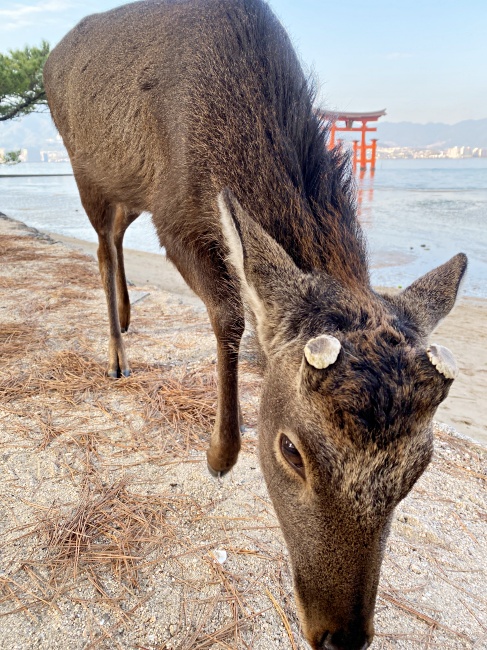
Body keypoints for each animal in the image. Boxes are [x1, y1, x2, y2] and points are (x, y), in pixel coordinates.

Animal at [43, 2, 468, 644]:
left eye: (421, 467)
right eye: (290, 449)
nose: (341, 635)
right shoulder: (174, 213)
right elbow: (231, 316)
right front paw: (220, 455)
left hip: (122, 181)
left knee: (114, 235)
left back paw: (127, 316)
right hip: (85, 165)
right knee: (100, 242)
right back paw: (116, 356)